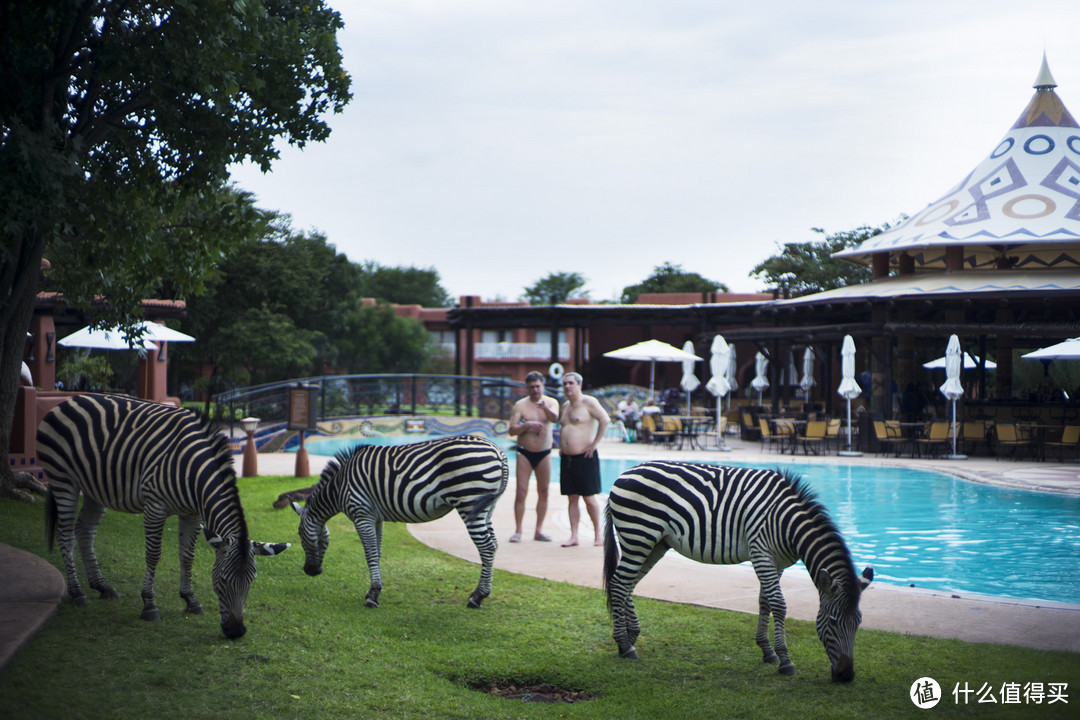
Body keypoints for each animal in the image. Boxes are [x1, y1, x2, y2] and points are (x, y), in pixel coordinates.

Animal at [38, 390, 291, 639]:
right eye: (222, 580)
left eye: (251, 581)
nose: (236, 631)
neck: (194, 472)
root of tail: (70, 399)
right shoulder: (155, 506)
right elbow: (153, 555)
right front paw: (149, 605)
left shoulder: (192, 515)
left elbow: (187, 556)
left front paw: (190, 600)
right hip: (64, 479)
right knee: (65, 535)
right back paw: (77, 593)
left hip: (95, 489)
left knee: (85, 531)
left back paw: (102, 587)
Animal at [291, 433, 509, 608]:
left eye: (299, 535)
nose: (310, 571)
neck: (339, 486)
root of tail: (498, 451)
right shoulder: (375, 518)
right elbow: (377, 553)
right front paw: (374, 590)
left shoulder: (361, 514)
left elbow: (370, 554)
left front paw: (372, 597)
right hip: (486, 507)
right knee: (494, 544)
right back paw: (479, 594)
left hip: (469, 501)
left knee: (486, 546)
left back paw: (477, 597)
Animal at [604, 462, 872, 682]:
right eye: (832, 621)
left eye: (858, 623)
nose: (846, 676)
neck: (787, 523)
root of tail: (622, 475)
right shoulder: (761, 554)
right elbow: (779, 604)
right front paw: (785, 660)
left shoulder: (777, 563)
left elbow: (765, 602)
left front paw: (768, 652)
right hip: (639, 537)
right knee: (618, 584)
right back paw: (625, 645)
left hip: (654, 544)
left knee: (628, 585)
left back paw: (631, 636)